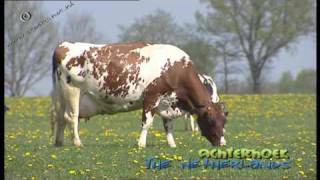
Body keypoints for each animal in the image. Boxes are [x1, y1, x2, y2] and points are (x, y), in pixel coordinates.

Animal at [51, 41, 228, 148]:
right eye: (211, 121)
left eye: (224, 122)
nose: (223, 143)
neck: (175, 69)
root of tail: (64, 45)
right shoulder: (152, 97)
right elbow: (147, 123)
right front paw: (141, 144)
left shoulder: (167, 102)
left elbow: (168, 125)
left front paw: (172, 144)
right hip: (73, 90)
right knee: (71, 117)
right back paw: (77, 142)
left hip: (61, 94)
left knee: (59, 116)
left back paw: (59, 142)